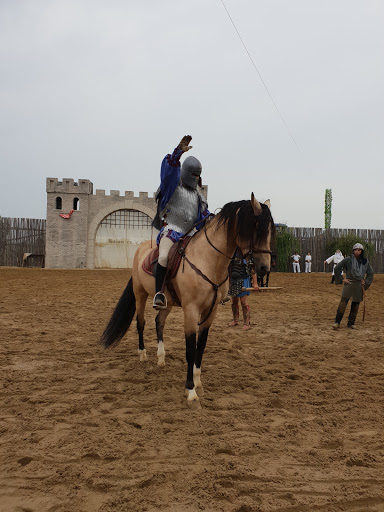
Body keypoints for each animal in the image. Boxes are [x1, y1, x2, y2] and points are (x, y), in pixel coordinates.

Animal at [100, 193, 274, 404]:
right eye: (255, 228)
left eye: (269, 230)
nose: (265, 267)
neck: (207, 259)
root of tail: (141, 248)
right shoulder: (191, 310)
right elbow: (190, 348)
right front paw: (190, 390)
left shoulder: (210, 311)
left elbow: (201, 346)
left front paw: (198, 383)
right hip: (140, 294)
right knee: (140, 323)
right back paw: (143, 354)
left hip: (166, 303)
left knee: (159, 322)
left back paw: (161, 357)